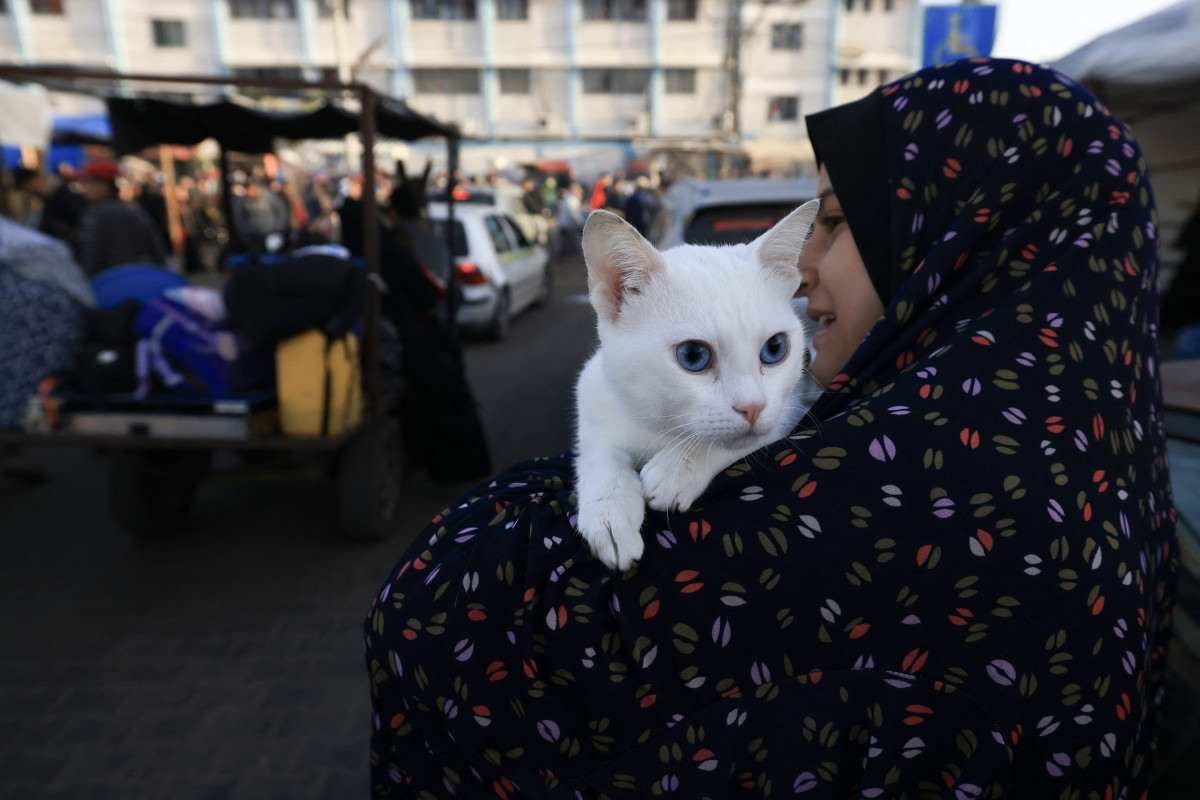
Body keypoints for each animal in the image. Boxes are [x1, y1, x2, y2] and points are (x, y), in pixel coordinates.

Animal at [573, 203, 820, 573]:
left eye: (775, 349)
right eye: (693, 356)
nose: (753, 407)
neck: (659, 423)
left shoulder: (790, 407)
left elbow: (748, 438)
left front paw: (678, 468)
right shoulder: (594, 395)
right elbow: (599, 455)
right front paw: (609, 512)